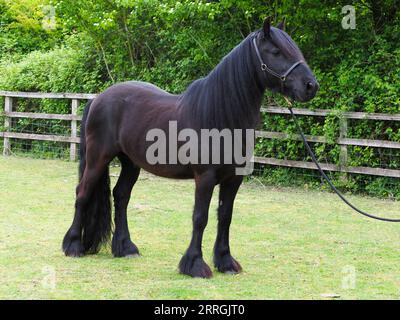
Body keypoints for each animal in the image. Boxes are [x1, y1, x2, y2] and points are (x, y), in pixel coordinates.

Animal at [62, 18, 318, 278]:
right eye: (276, 52)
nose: (311, 86)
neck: (220, 114)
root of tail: (98, 98)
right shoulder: (204, 177)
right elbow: (200, 217)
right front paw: (195, 264)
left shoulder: (233, 179)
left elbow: (225, 216)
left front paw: (225, 262)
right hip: (98, 158)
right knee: (82, 193)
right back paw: (73, 246)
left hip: (131, 163)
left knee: (121, 196)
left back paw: (125, 248)